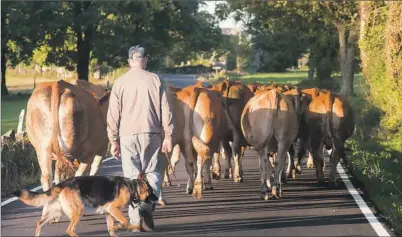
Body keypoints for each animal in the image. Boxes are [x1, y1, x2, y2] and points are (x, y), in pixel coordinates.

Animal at [12, 174, 157, 237]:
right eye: (151, 191)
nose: (156, 199)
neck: (133, 187)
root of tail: (64, 183)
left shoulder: (108, 213)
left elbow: (111, 228)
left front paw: (116, 229)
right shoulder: (113, 209)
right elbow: (125, 222)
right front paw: (128, 227)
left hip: (55, 212)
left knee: (39, 223)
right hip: (78, 211)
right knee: (69, 230)